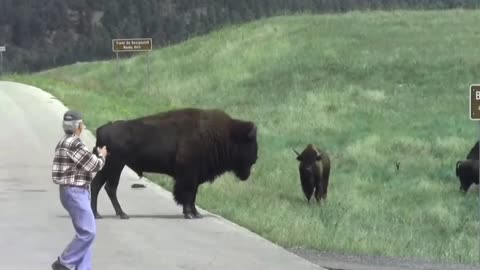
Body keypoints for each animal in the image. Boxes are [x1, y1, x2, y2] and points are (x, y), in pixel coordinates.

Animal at [92, 107, 260, 219]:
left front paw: (196, 214)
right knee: (109, 187)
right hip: (115, 166)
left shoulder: (194, 177)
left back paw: (99, 214)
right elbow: (187, 194)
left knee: (99, 185)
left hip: (110, 166)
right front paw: (190, 214)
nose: (256, 157)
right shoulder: (188, 176)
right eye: (250, 142)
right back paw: (121, 214)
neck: (220, 135)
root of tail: (102, 129)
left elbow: (193, 195)